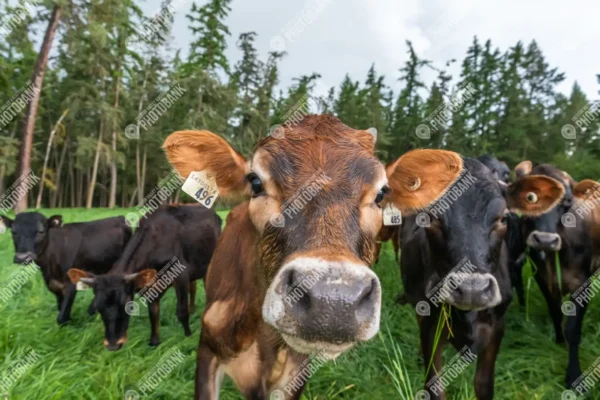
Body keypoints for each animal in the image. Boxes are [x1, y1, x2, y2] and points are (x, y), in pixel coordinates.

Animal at [0, 212, 132, 324]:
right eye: (13, 232)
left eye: (41, 231)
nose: (22, 257)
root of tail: (120, 217)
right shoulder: (54, 285)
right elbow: (61, 309)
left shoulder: (71, 284)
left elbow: (61, 317)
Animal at [68, 205, 221, 352]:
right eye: (98, 307)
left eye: (128, 306)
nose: (113, 346)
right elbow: (153, 312)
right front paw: (154, 342)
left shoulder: (181, 275)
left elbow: (182, 312)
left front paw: (188, 337)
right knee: (193, 287)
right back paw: (193, 309)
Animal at [400, 158, 564, 398]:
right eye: (430, 217)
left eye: (503, 218)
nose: (472, 290)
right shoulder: (430, 322)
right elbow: (434, 386)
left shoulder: (496, 326)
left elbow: (484, 385)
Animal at [516, 161, 600, 390]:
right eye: (529, 197)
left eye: (568, 201)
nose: (545, 240)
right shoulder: (543, 278)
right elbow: (555, 313)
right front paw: (559, 341)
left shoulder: (583, 283)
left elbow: (574, 329)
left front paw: (573, 375)